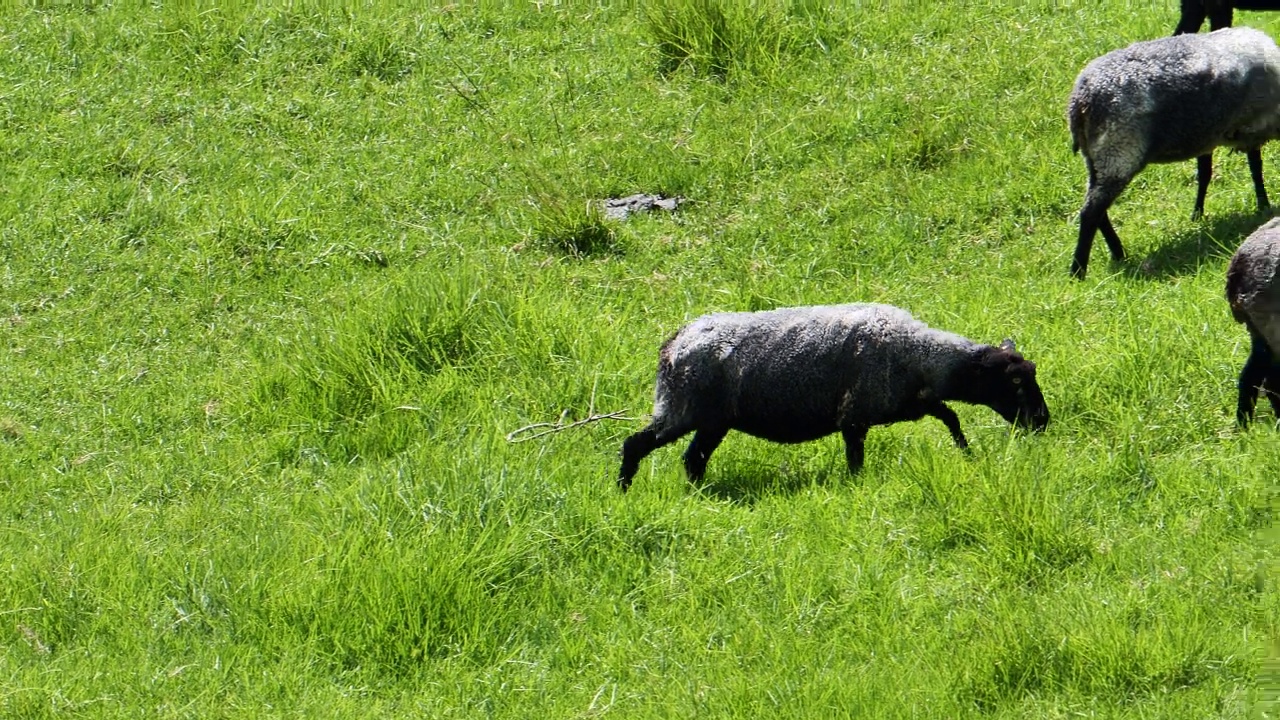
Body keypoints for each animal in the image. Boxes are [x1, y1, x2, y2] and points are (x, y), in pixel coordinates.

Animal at [616, 299, 1049, 489]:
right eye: (1015, 381)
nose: (1043, 421)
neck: (920, 354)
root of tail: (673, 344)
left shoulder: (914, 402)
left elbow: (951, 417)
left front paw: (967, 453)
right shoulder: (855, 415)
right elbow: (855, 458)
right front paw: (857, 486)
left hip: (711, 421)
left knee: (693, 459)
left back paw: (699, 494)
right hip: (682, 408)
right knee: (634, 444)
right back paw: (624, 489)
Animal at [1064, 26, 1280, 278]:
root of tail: (1081, 100)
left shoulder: (1216, 134)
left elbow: (1221, 171)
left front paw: (1203, 213)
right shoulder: (1252, 129)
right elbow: (1255, 168)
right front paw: (1263, 206)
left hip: (1096, 157)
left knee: (1098, 209)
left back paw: (1117, 253)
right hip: (1118, 152)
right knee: (1091, 212)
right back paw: (1078, 270)